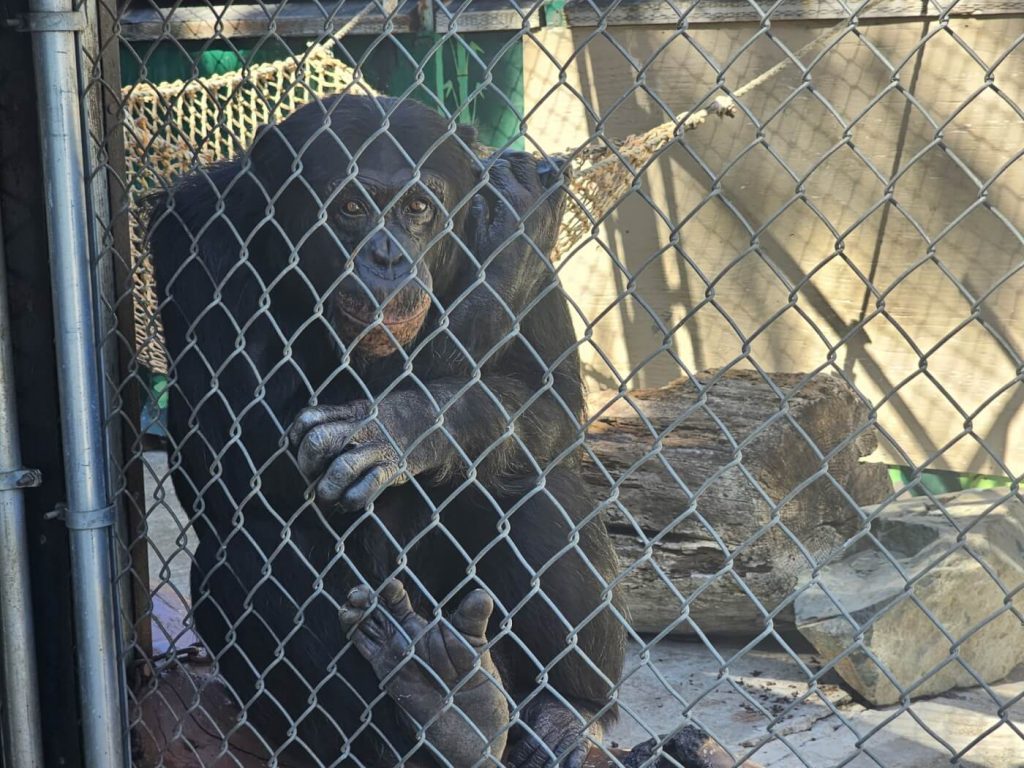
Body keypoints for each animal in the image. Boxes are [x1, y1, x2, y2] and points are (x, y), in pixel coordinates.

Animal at [148, 97, 626, 768]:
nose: (388, 257)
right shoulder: (196, 241)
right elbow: (238, 458)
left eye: (418, 208)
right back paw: (445, 714)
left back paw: (562, 712)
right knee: (249, 551)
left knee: (529, 480)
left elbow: (548, 395)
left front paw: (401, 427)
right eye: (352, 207)